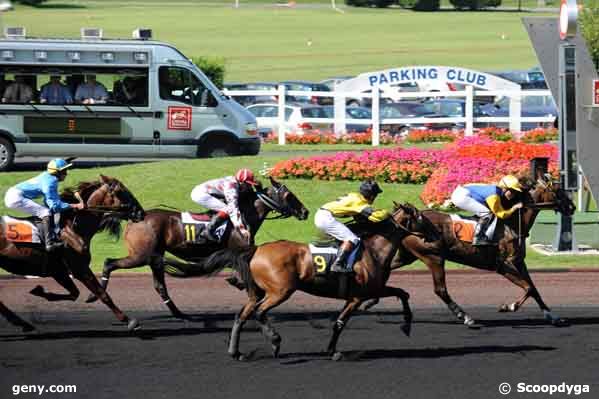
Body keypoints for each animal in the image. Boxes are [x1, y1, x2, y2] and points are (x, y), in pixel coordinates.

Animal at [0, 177, 145, 332]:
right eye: (121, 192)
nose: (140, 212)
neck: (73, 228)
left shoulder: (60, 271)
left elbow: (75, 294)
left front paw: (40, 292)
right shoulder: (78, 268)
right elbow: (102, 294)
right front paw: (129, 320)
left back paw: (23, 323)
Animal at [86, 177, 310, 320]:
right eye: (289, 195)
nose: (305, 212)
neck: (243, 217)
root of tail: (135, 218)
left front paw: (236, 282)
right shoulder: (237, 251)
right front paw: (238, 282)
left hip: (154, 256)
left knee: (159, 286)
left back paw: (179, 313)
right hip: (140, 255)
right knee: (109, 263)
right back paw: (94, 294)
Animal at [195, 208, 420, 360]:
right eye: (420, 217)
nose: (430, 236)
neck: (373, 251)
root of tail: (256, 249)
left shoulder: (367, 292)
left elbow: (402, 293)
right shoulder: (359, 295)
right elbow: (342, 321)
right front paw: (406, 325)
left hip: (257, 292)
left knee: (242, 315)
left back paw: (236, 352)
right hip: (280, 291)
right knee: (259, 312)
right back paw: (275, 341)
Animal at [364, 175, 580, 328]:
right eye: (557, 190)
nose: (572, 207)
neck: (512, 224)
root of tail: (402, 220)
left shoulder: (519, 262)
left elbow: (534, 289)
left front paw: (553, 317)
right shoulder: (504, 266)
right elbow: (527, 288)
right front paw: (507, 306)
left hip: (407, 255)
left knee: (388, 268)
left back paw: (371, 299)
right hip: (433, 257)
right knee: (440, 290)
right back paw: (466, 317)